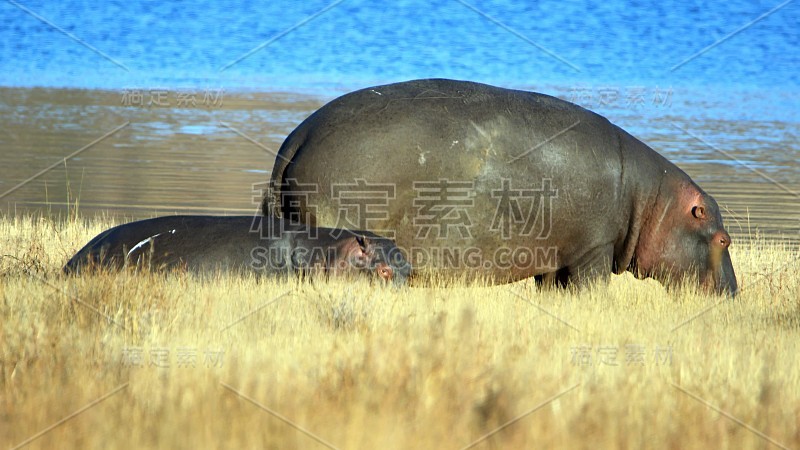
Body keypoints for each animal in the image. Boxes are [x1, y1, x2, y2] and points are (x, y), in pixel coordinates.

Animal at [268, 78, 736, 296]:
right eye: (724, 239)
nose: (734, 292)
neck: (652, 200)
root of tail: (295, 140)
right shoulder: (593, 250)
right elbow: (591, 288)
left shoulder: (557, 259)